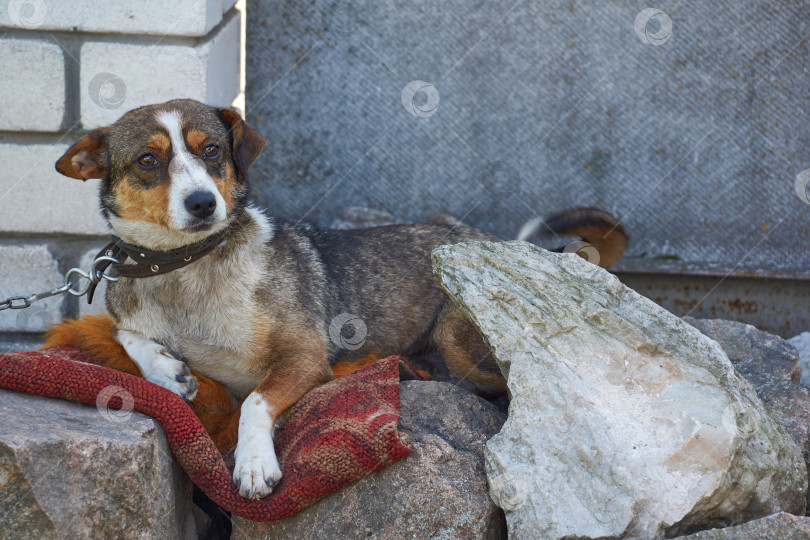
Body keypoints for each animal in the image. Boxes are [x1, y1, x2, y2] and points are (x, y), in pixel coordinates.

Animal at [55, 98, 624, 498]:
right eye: (148, 160)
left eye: (211, 150)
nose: (201, 203)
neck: (188, 269)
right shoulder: (130, 311)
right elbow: (127, 335)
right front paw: (165, 369)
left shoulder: (304, 357)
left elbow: (255, 401)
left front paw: (254, 463)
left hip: (458, 337)